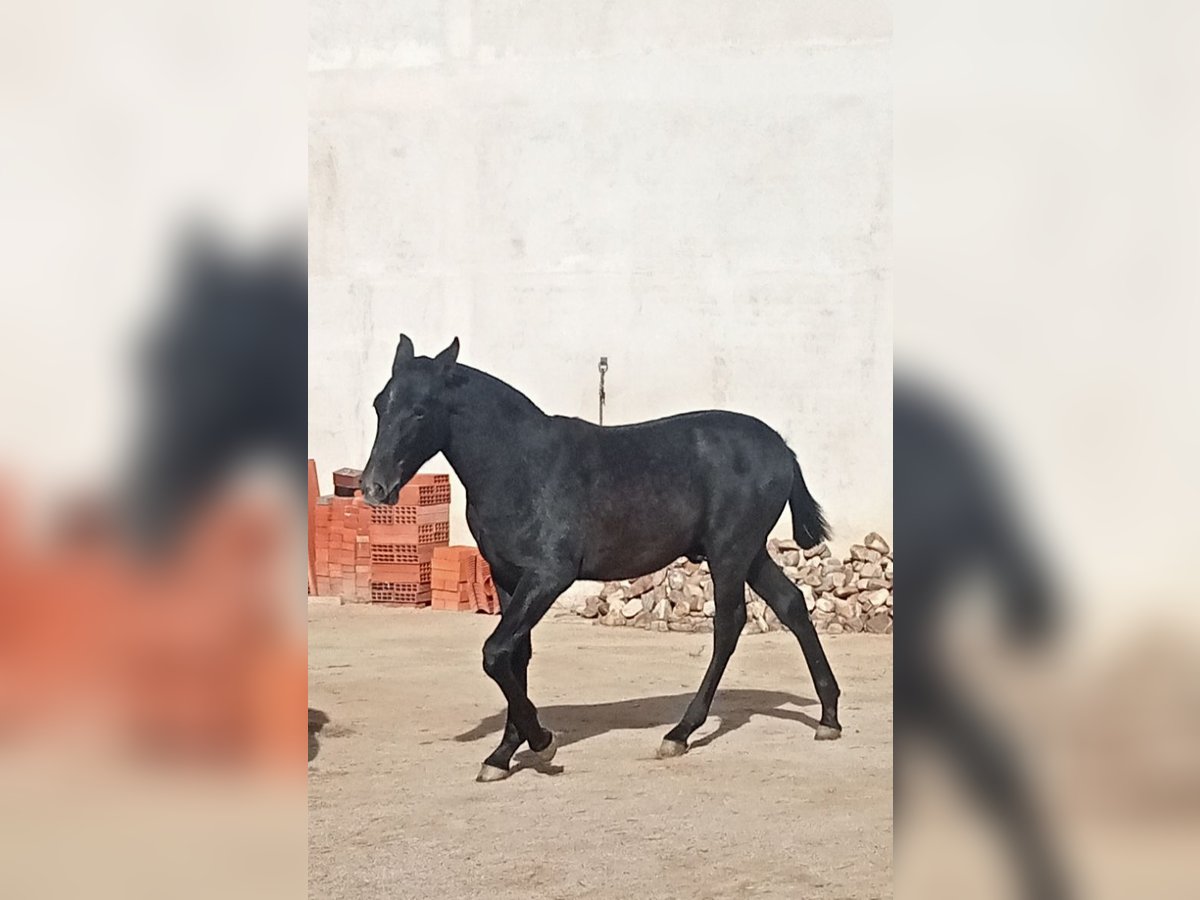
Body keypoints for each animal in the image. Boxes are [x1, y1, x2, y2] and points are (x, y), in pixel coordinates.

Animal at [360, 336, 840, 782]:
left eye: (421, 410)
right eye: (381, 403)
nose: (374, 487)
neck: (521, 466)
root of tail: (781, 448)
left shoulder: (549, 576)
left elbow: (495, 652)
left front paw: (542, 742)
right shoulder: (507, 577)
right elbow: (515, 655)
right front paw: (502, 754)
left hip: (730, 552)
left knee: (729, 625)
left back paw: (680, 732)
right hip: (750, 553)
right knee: (792, 604)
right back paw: (829, 716)